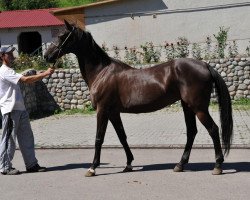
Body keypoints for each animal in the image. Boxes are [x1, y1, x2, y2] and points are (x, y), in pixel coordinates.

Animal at [44, 20, 233, 177]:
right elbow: (122, 137)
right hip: (187, 106)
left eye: (61, 36)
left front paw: (92, 168)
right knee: (192, 132)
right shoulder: (113, 112)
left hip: (198, 108)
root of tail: (205, 65)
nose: (46, 56)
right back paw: (180, 165)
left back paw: (217, 166)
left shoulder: (102, 110)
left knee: (213, 129)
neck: (101, 72)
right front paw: (128, 164)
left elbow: (99, 138)